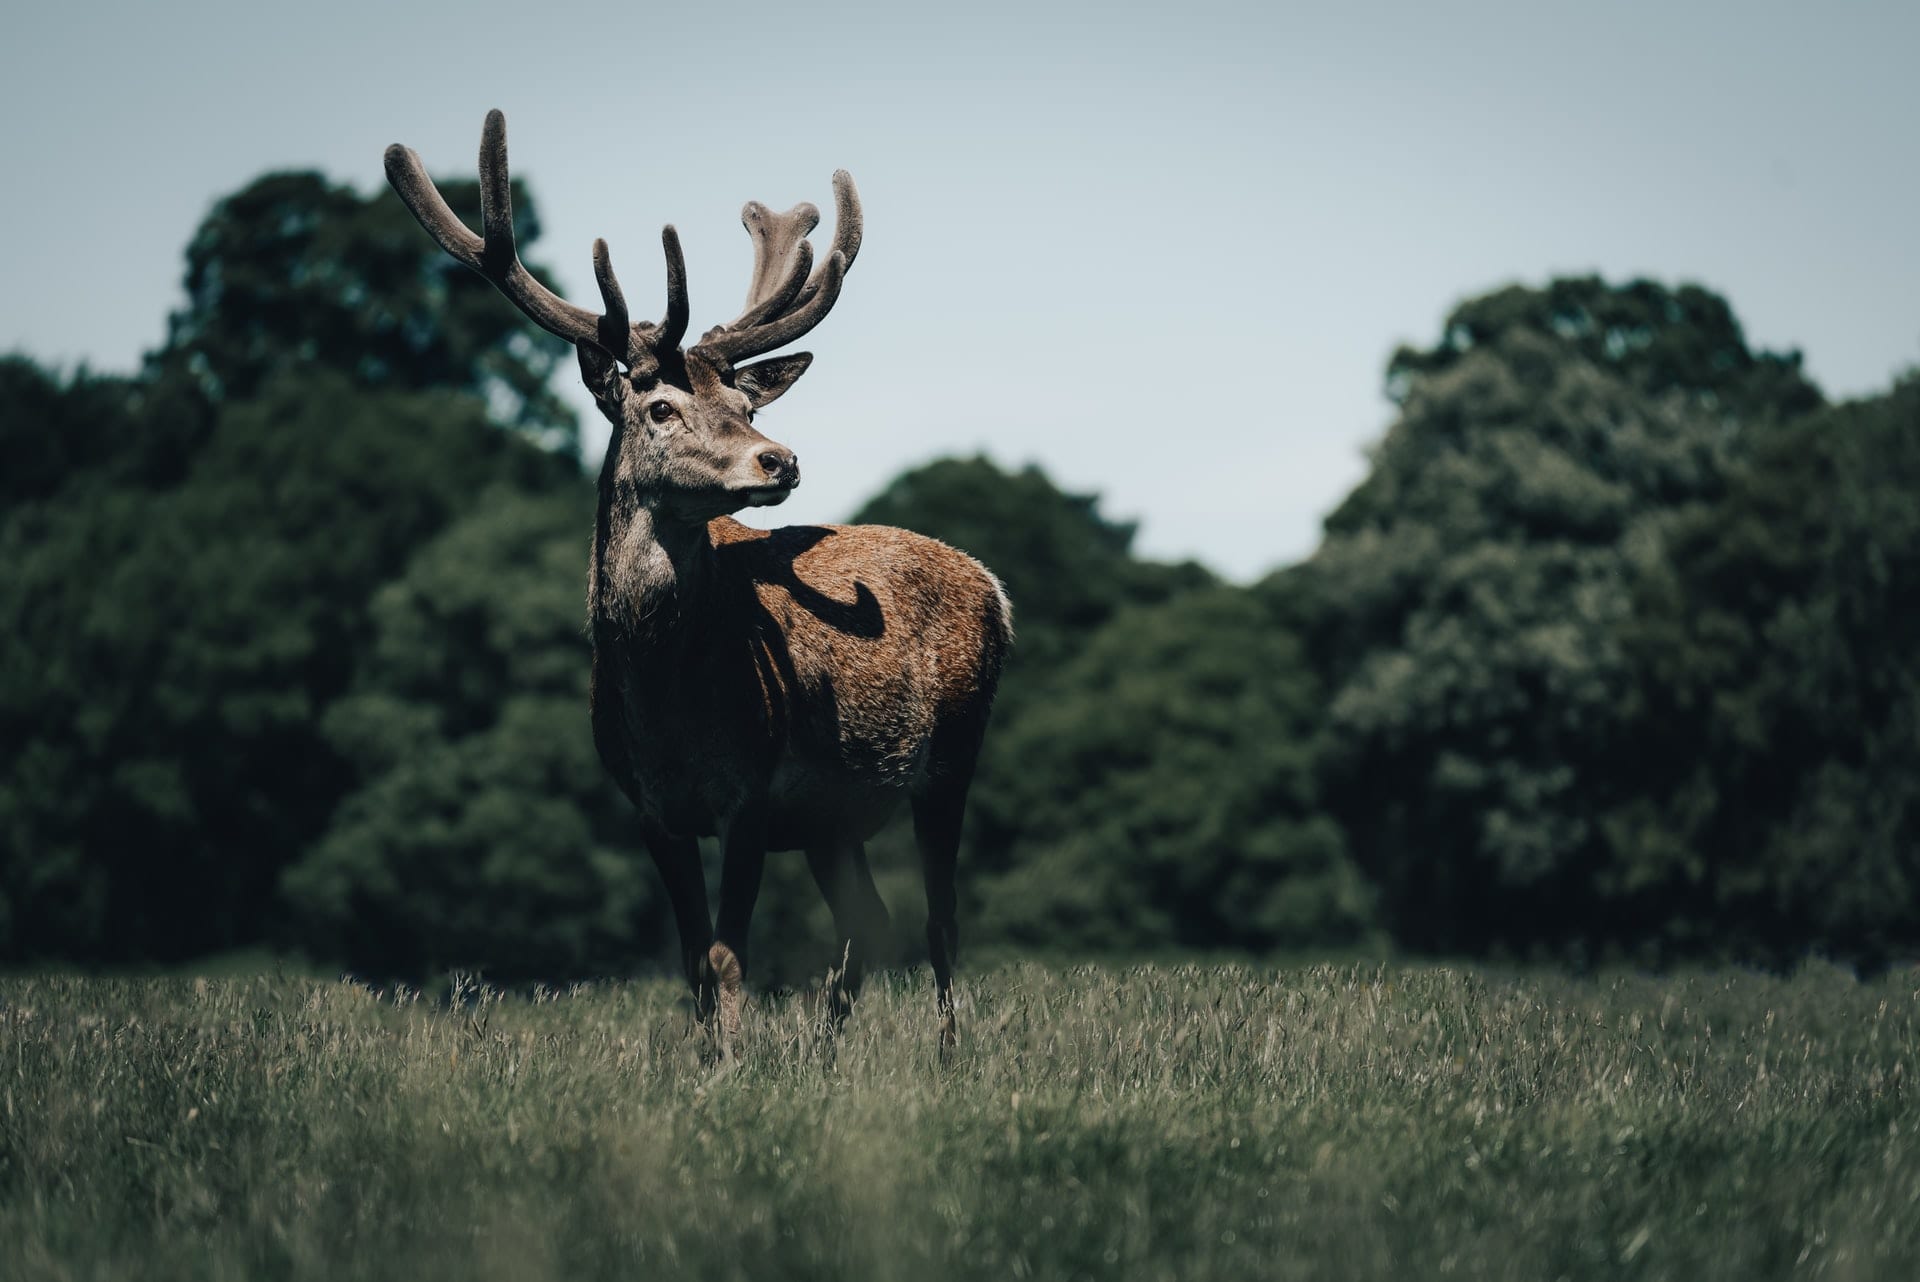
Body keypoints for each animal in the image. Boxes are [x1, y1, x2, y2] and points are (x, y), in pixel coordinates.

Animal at [385, 110, 1010, 1049]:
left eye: (748, 408)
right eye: (660, 408)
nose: (780, 459)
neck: (666, 709)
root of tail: (995, 587)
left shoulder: (750, 791)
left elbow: (726, 952)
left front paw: (734, 1062)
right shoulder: (650, 808)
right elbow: (691, 962)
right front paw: (709, 1058)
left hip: (954, 757)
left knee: (941, 918)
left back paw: (945, 1054)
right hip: (832, 820)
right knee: (869, 919)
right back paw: (826, 1048)